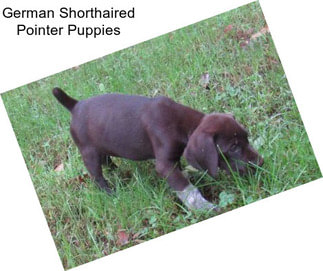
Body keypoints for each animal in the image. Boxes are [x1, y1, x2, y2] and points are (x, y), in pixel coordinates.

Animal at [53, 88, 264, 211]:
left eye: (246, 137)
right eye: (233, 147)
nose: (261, 163)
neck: (181, 123)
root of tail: (75, 105)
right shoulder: (164, 165)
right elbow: (186, 188)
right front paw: (203, 207)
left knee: (107, 161)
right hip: (89, 152)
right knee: (97, 178)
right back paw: (111, 194)